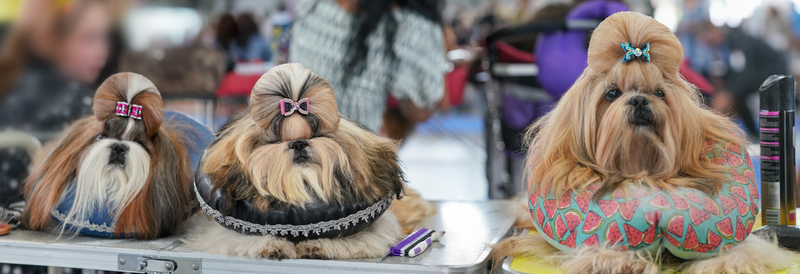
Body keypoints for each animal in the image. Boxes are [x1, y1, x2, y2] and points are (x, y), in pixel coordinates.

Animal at [184, 63, 410, 260]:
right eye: (275, 141)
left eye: (317, 135)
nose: (299, 143)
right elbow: (237, 238)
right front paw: (272, 244)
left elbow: (359, 238)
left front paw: (318, 245)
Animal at [490, 11, 796, 272]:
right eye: (612, 93)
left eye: (659, 93)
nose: (639, 100)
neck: (640, 168)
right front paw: (616, 260)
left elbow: (736, 248)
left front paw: (724, 262)